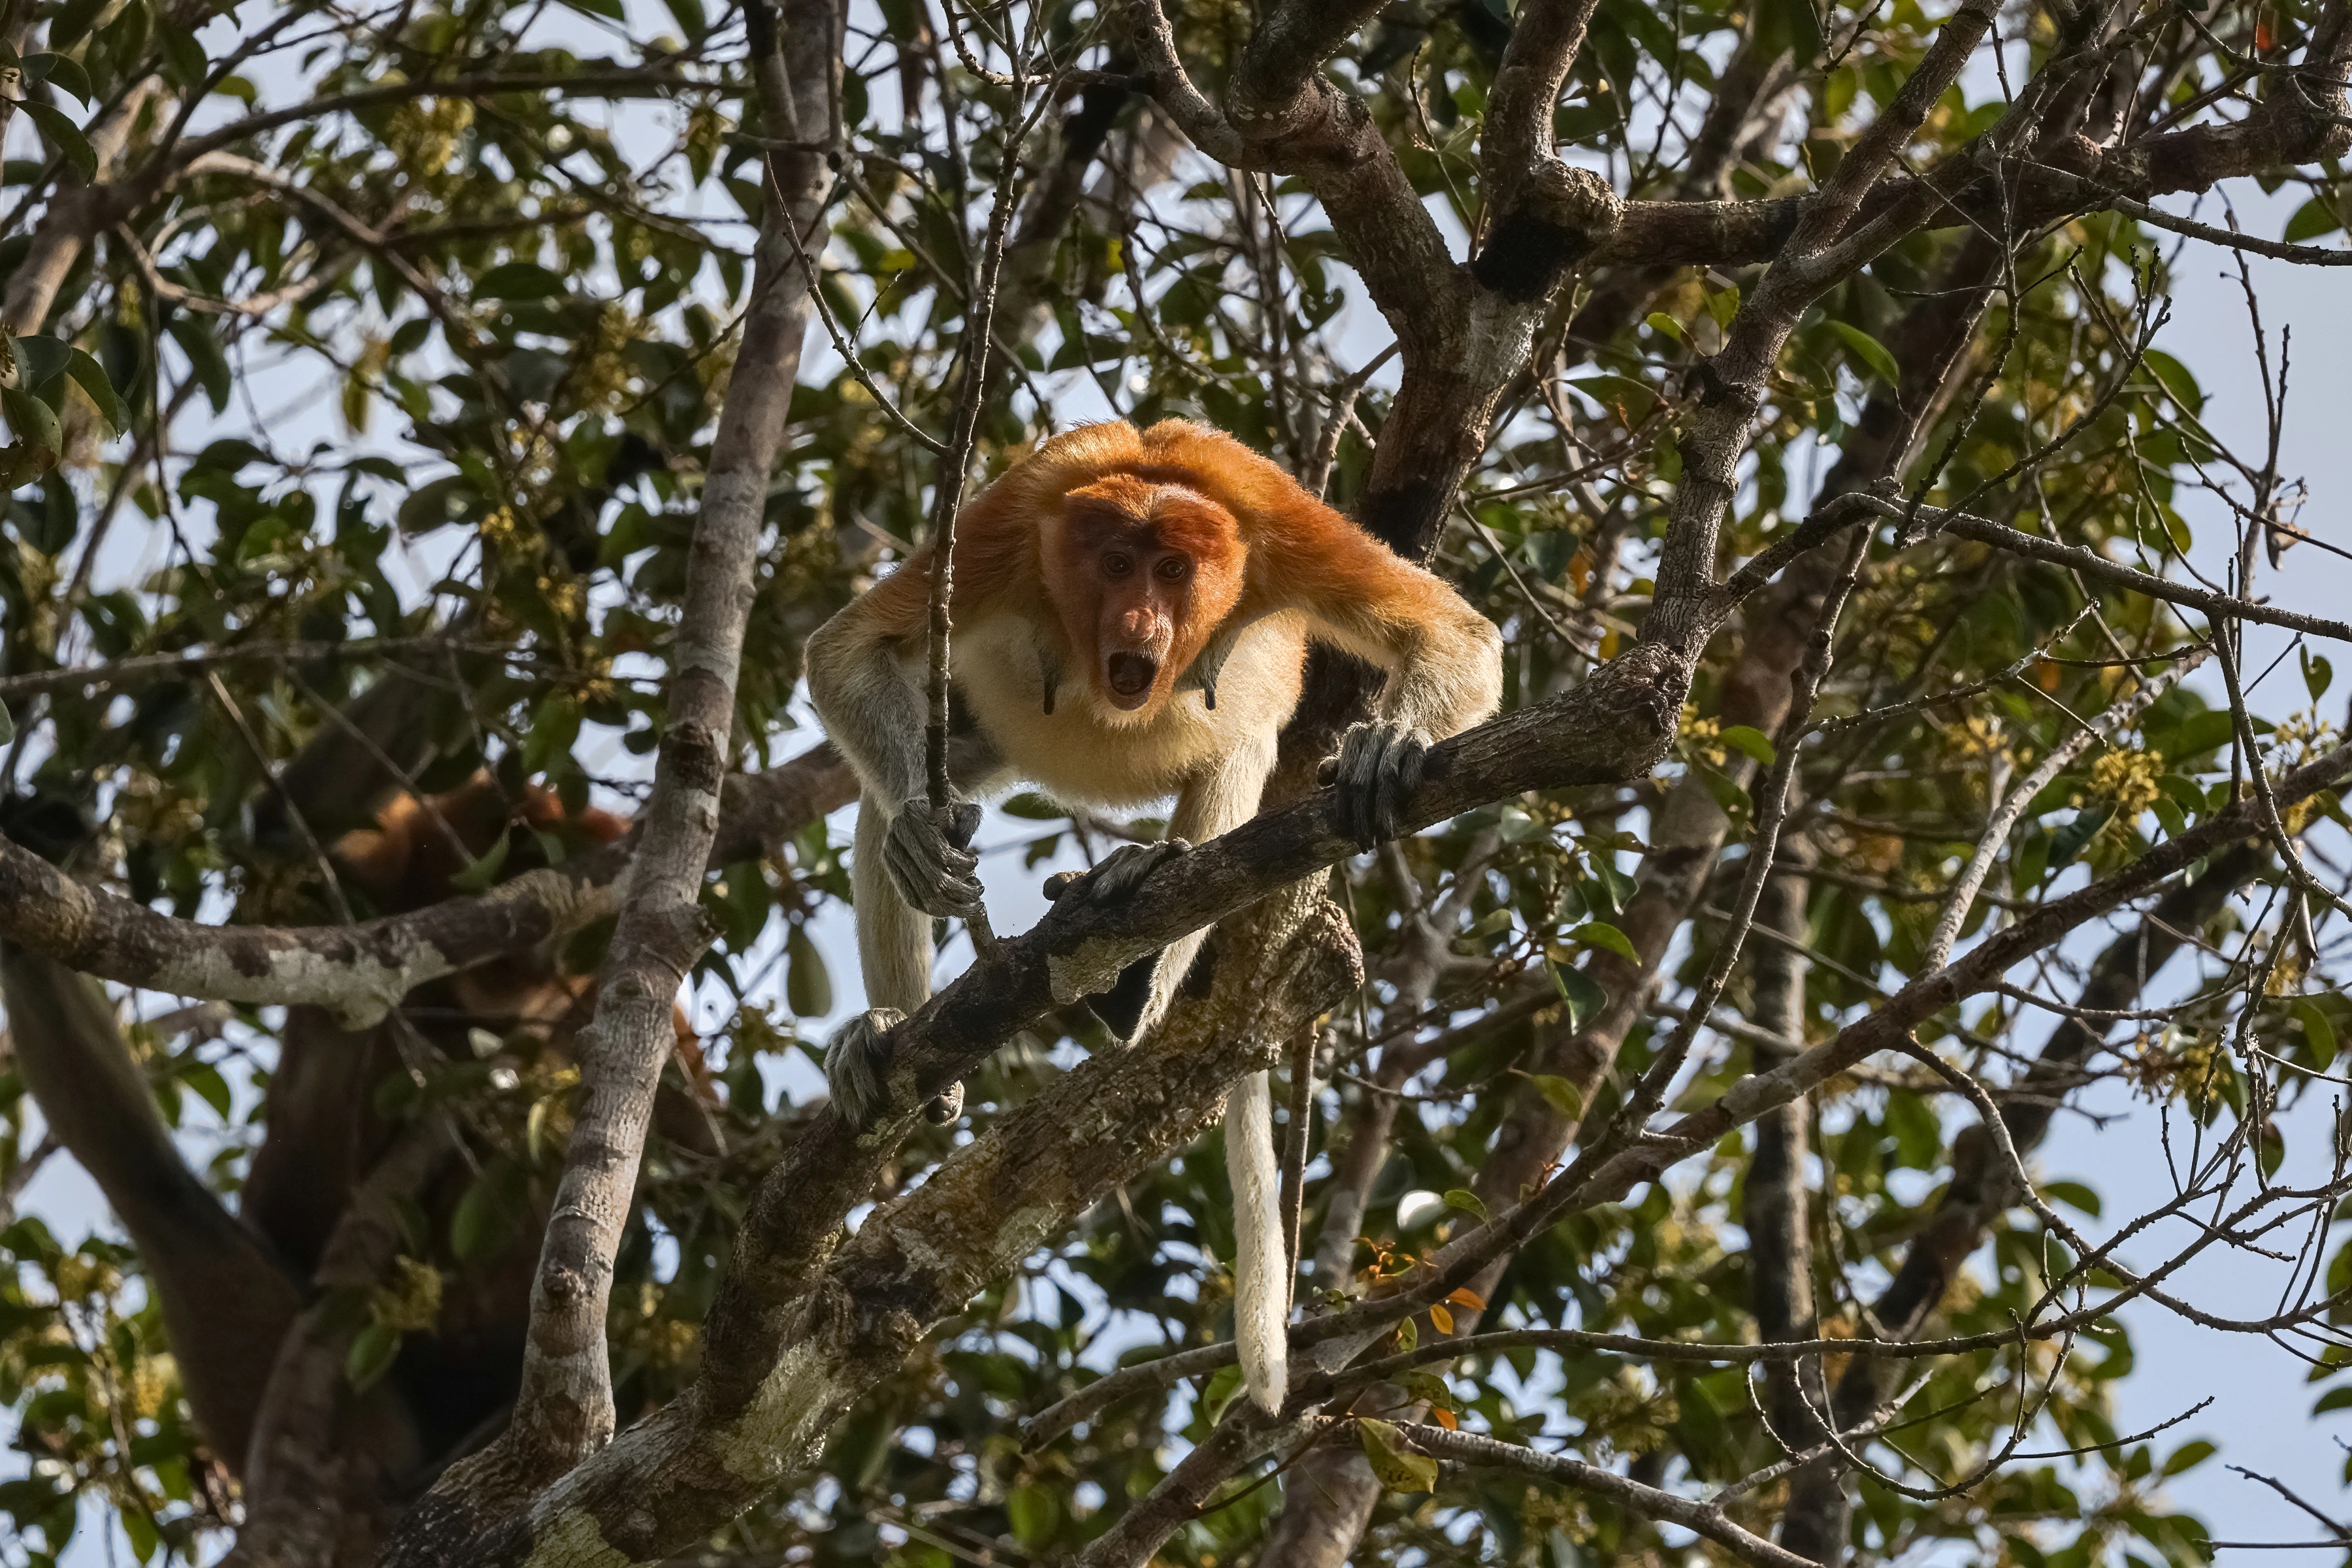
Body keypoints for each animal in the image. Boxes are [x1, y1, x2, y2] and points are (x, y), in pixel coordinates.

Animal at [804, 418, 1503, 1416]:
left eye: (1174, 570)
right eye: (1116, 563)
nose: (1142, 630)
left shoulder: (1272, 520)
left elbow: (1453, 634)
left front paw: (1390, 744)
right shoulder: (1013, 522)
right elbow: (849, 650)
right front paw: (918, 841)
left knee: (1238, 752)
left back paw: (1135, 945)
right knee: (888, 793)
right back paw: (894, 1033)